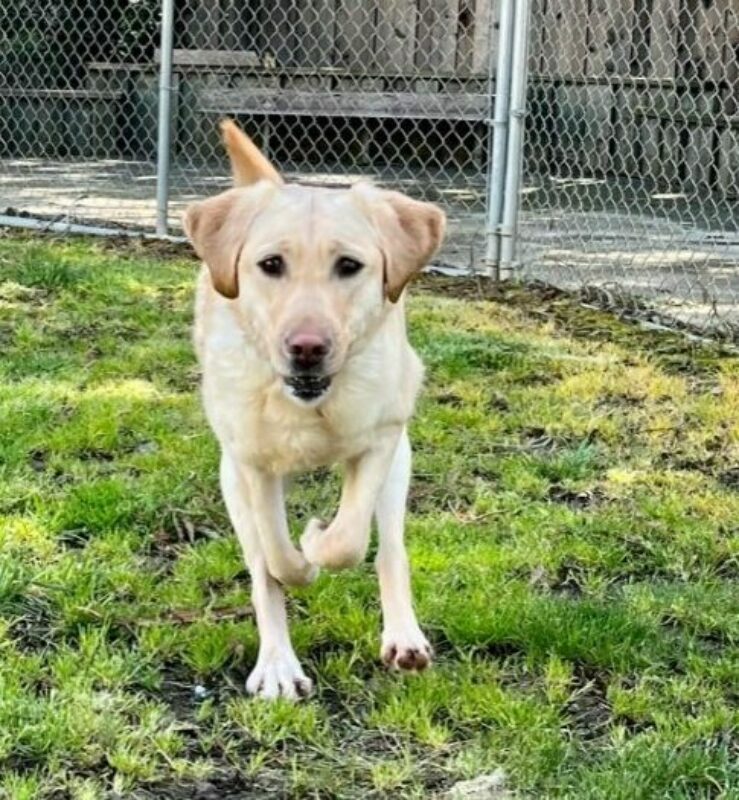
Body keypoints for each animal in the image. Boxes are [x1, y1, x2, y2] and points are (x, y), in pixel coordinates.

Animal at [186, 120, 446, 700]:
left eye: (348, 266)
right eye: (270, 265)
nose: (306, 347)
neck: (310, 408)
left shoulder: (381, 440)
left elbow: (348, 541)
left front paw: (317, 540)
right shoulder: (251, 464)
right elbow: (276, 559)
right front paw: (300, 563)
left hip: (401, 460)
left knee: (389, 547)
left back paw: (403, 636)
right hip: (230, 476)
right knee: (261, 563)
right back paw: (278, 665)